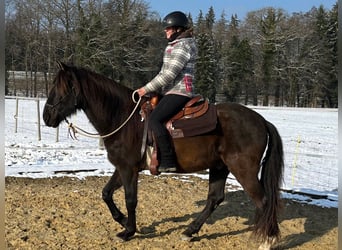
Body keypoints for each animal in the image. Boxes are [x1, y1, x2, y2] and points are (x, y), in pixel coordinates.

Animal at [42, 61, 284, 249]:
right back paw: (189, 231)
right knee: (215, 199)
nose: (46, 116)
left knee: (263, 201)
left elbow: (131, 199)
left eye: (62, 88)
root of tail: (261, 121)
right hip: (219, 167)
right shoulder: (122, 167)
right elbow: (106, 193)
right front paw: (122, 221)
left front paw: (128, 231)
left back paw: (267, 241)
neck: (124, 118)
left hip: (243, 169)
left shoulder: (129, 169)